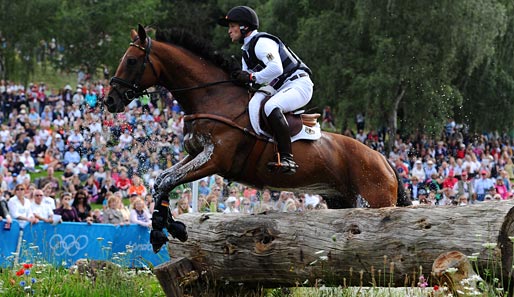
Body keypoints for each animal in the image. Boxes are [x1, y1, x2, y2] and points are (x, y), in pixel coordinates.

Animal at [103, 26, 408, 252]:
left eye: (131, 61)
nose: (110, 101)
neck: (214, 98)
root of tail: (385, 160)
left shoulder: (215, 159)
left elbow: (168, 181)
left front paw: (163, 230)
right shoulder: (195, 154)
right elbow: (161, 181)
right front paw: (167, 226)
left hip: (373, 201)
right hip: (340, 201)